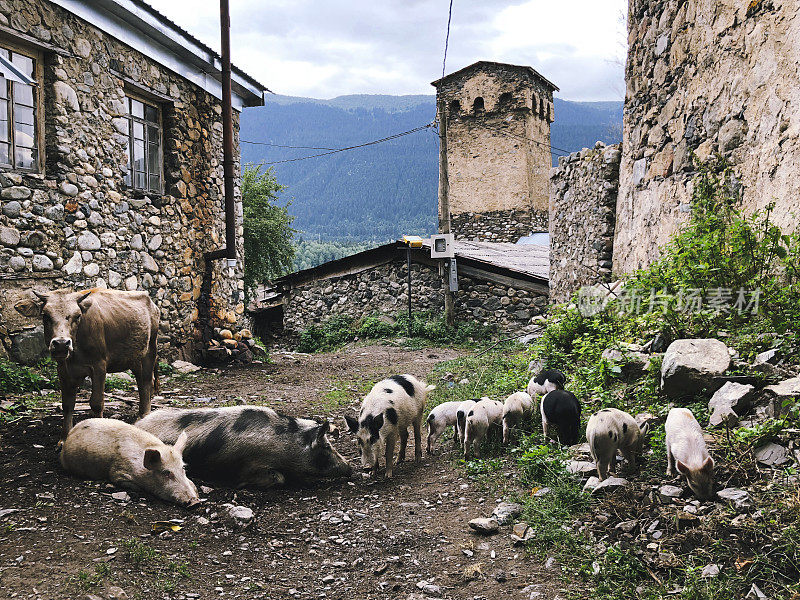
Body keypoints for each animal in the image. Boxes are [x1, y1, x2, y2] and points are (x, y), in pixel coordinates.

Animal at [14, 288, 159, 440]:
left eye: (77, 316)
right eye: (45, 316)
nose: (61, 343)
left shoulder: (99, 366)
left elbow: (96, 403)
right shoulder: (63, 369)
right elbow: (67, 404)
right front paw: (64, 438)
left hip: (150, 350)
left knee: (147, 381)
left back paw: (145, 417)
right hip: (135, 357)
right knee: (141, 382)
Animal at [136, 406, 352, 490]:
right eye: (326, 447)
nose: (350, 468)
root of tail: (139, 424)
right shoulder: (252, 464)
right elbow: (278, 478)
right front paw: (240, 485)